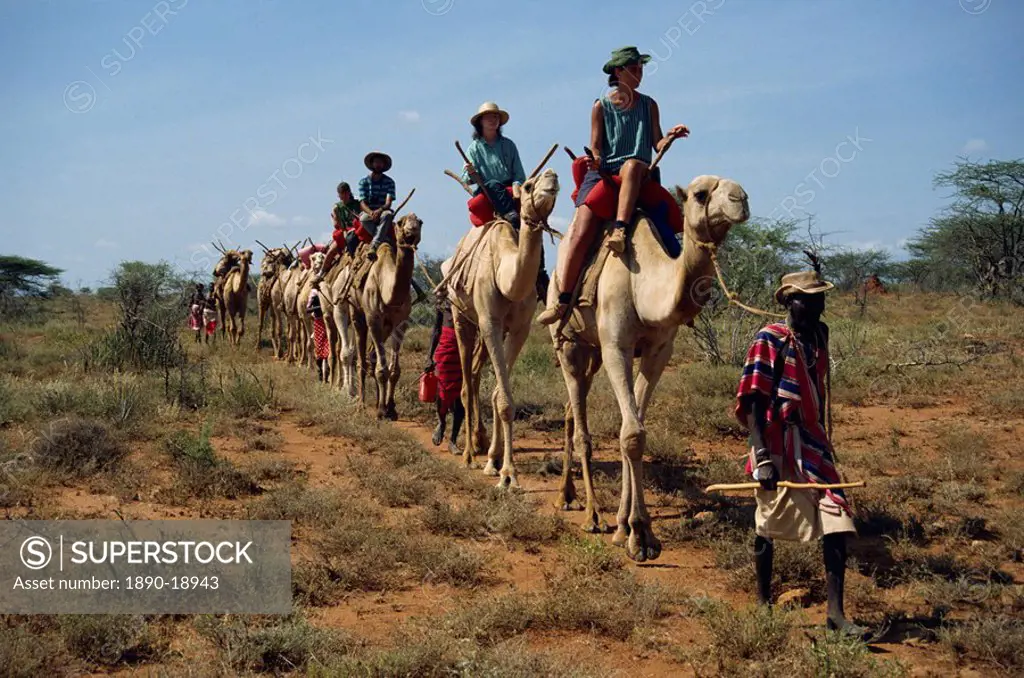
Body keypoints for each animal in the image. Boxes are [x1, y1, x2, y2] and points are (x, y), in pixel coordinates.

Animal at [448, 170, 561, 489]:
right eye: (528, 186)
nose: (552, 176)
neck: (505, 274)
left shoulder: (519, 328)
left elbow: (500, 393)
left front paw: (496, 462)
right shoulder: (489, 322)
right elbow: (505, 399)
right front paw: (509, 474)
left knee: (476, 374)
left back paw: (481, 445)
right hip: (460, 315)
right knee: (465, 383)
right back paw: (468, 455)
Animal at [548, 175, 749, 561]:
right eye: (701, 194)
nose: (741, 199)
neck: (643, 287)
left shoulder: (658, 351)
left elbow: (635, 429)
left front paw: (626, 526)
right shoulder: (616, 347)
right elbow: (632, 434)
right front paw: (640, 535)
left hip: (592, 352)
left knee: (569, 412)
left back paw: (567, 495)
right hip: (568, 342)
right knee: (581, 427)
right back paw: (592, 514)